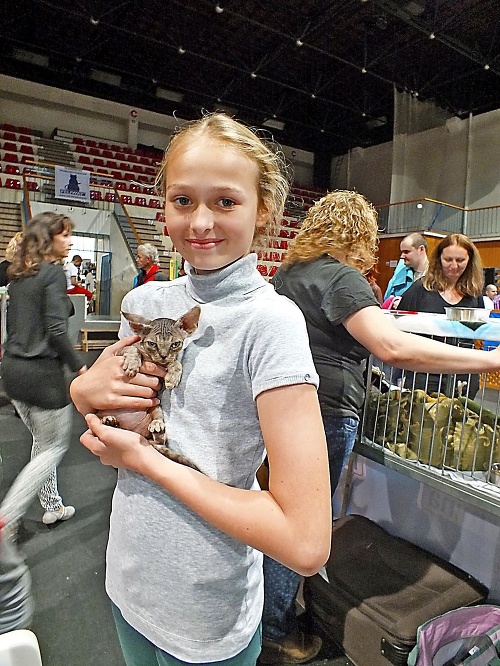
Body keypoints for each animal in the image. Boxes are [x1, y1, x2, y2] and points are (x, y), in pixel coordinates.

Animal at [96, 304, 200, 470]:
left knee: (160, 440)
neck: (153, 360)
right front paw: (132, 363)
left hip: (155, 406)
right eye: (152, 344)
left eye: (175, 344)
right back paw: (109, 420)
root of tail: (135, 432)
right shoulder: (120, 352)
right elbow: (133, 349)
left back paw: (157, 427)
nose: (163, 355)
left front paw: (173, 375)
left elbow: (175, 362)